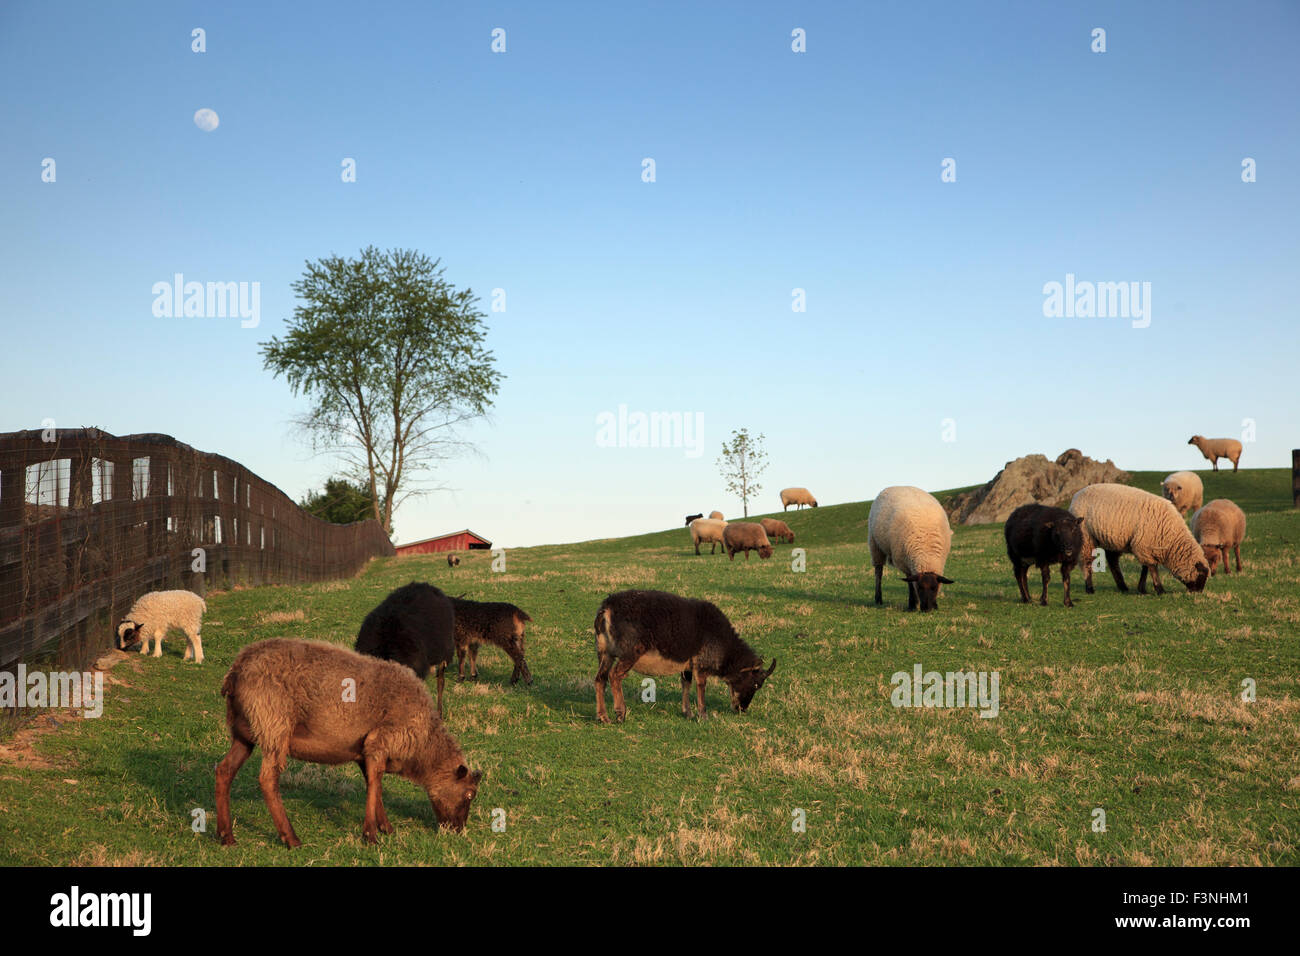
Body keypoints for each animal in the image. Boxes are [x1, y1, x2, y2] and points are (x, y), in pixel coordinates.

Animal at [215, 639, 486, 848]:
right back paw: (290, 838)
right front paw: (371, 835)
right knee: (267, 780)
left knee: (224, 771)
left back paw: (226, 836)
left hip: (244, 733)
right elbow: (375, 785)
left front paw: (385, 827)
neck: (424, 745)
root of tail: (236, 670)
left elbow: (374, 786)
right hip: (274, 726)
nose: (458, 830)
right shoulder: (379, 743)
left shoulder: (366, 752)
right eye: (469, 794)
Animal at [1066, 481, 1206, 595]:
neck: (1171, 536)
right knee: (1086, 562)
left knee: (1112, 561)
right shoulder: (1144, 545)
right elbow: (1152, 567)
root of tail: (1076, 496)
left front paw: (1142, 589)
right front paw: (1160, 589)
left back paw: (1122, 586)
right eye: (1201, 575)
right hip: (1086, 536)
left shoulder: (1144, 546)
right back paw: (1089, 588)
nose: (1198, 592)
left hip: (1111, 538)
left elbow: (1146, 568)